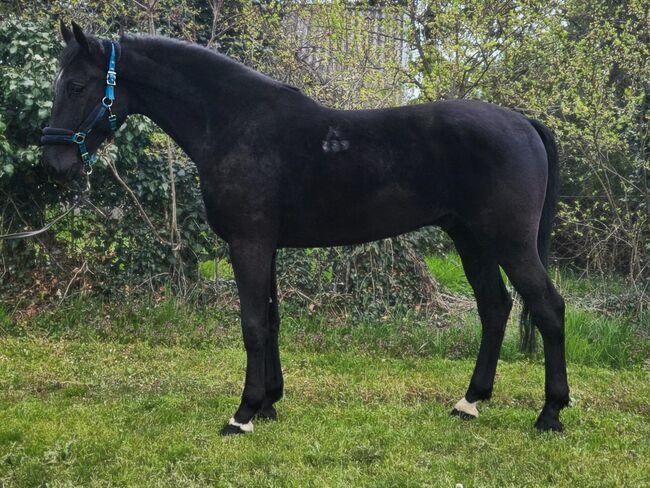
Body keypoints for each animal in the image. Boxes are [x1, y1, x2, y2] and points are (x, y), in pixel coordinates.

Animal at [42, 21, 569, 435]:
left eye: (78, 86)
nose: (54, 163)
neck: (235, 122)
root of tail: (523, 122)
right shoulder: (267, 245)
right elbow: (272, 319)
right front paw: (269, 403)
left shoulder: (249, 244)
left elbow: (253, 325)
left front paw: (243, 414)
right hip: (470, 239)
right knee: (495, 308)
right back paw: (469, 402)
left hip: (509, 242)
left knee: (547, 308)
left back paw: (550, 414)